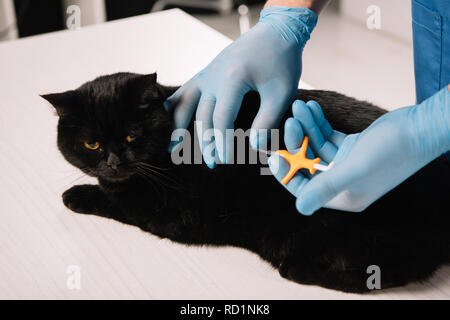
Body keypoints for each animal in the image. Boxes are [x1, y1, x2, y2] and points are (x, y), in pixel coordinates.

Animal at [42, 72, 450, 292]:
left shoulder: (170, 212)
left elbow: (119, 201)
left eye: (131, 136)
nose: (113, 162)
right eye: (91, 144)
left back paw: (299, 270)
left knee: (394, 271)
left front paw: (77, 195)